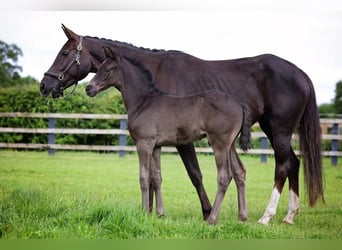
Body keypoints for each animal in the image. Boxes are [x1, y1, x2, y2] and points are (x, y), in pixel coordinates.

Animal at [40, 25, 324, 225]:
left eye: (64, 53)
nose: (45, 85)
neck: (148, 94)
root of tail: (302, 73)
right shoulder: (156, 144)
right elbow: (156, 177)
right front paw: (154, 213)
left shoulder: (168, 142)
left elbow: (186, 175)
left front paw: (200, 212)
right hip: (260, 134)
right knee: (285, 165)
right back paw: (286, 215)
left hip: (276, 131)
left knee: (276, 167)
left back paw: (263, 216)